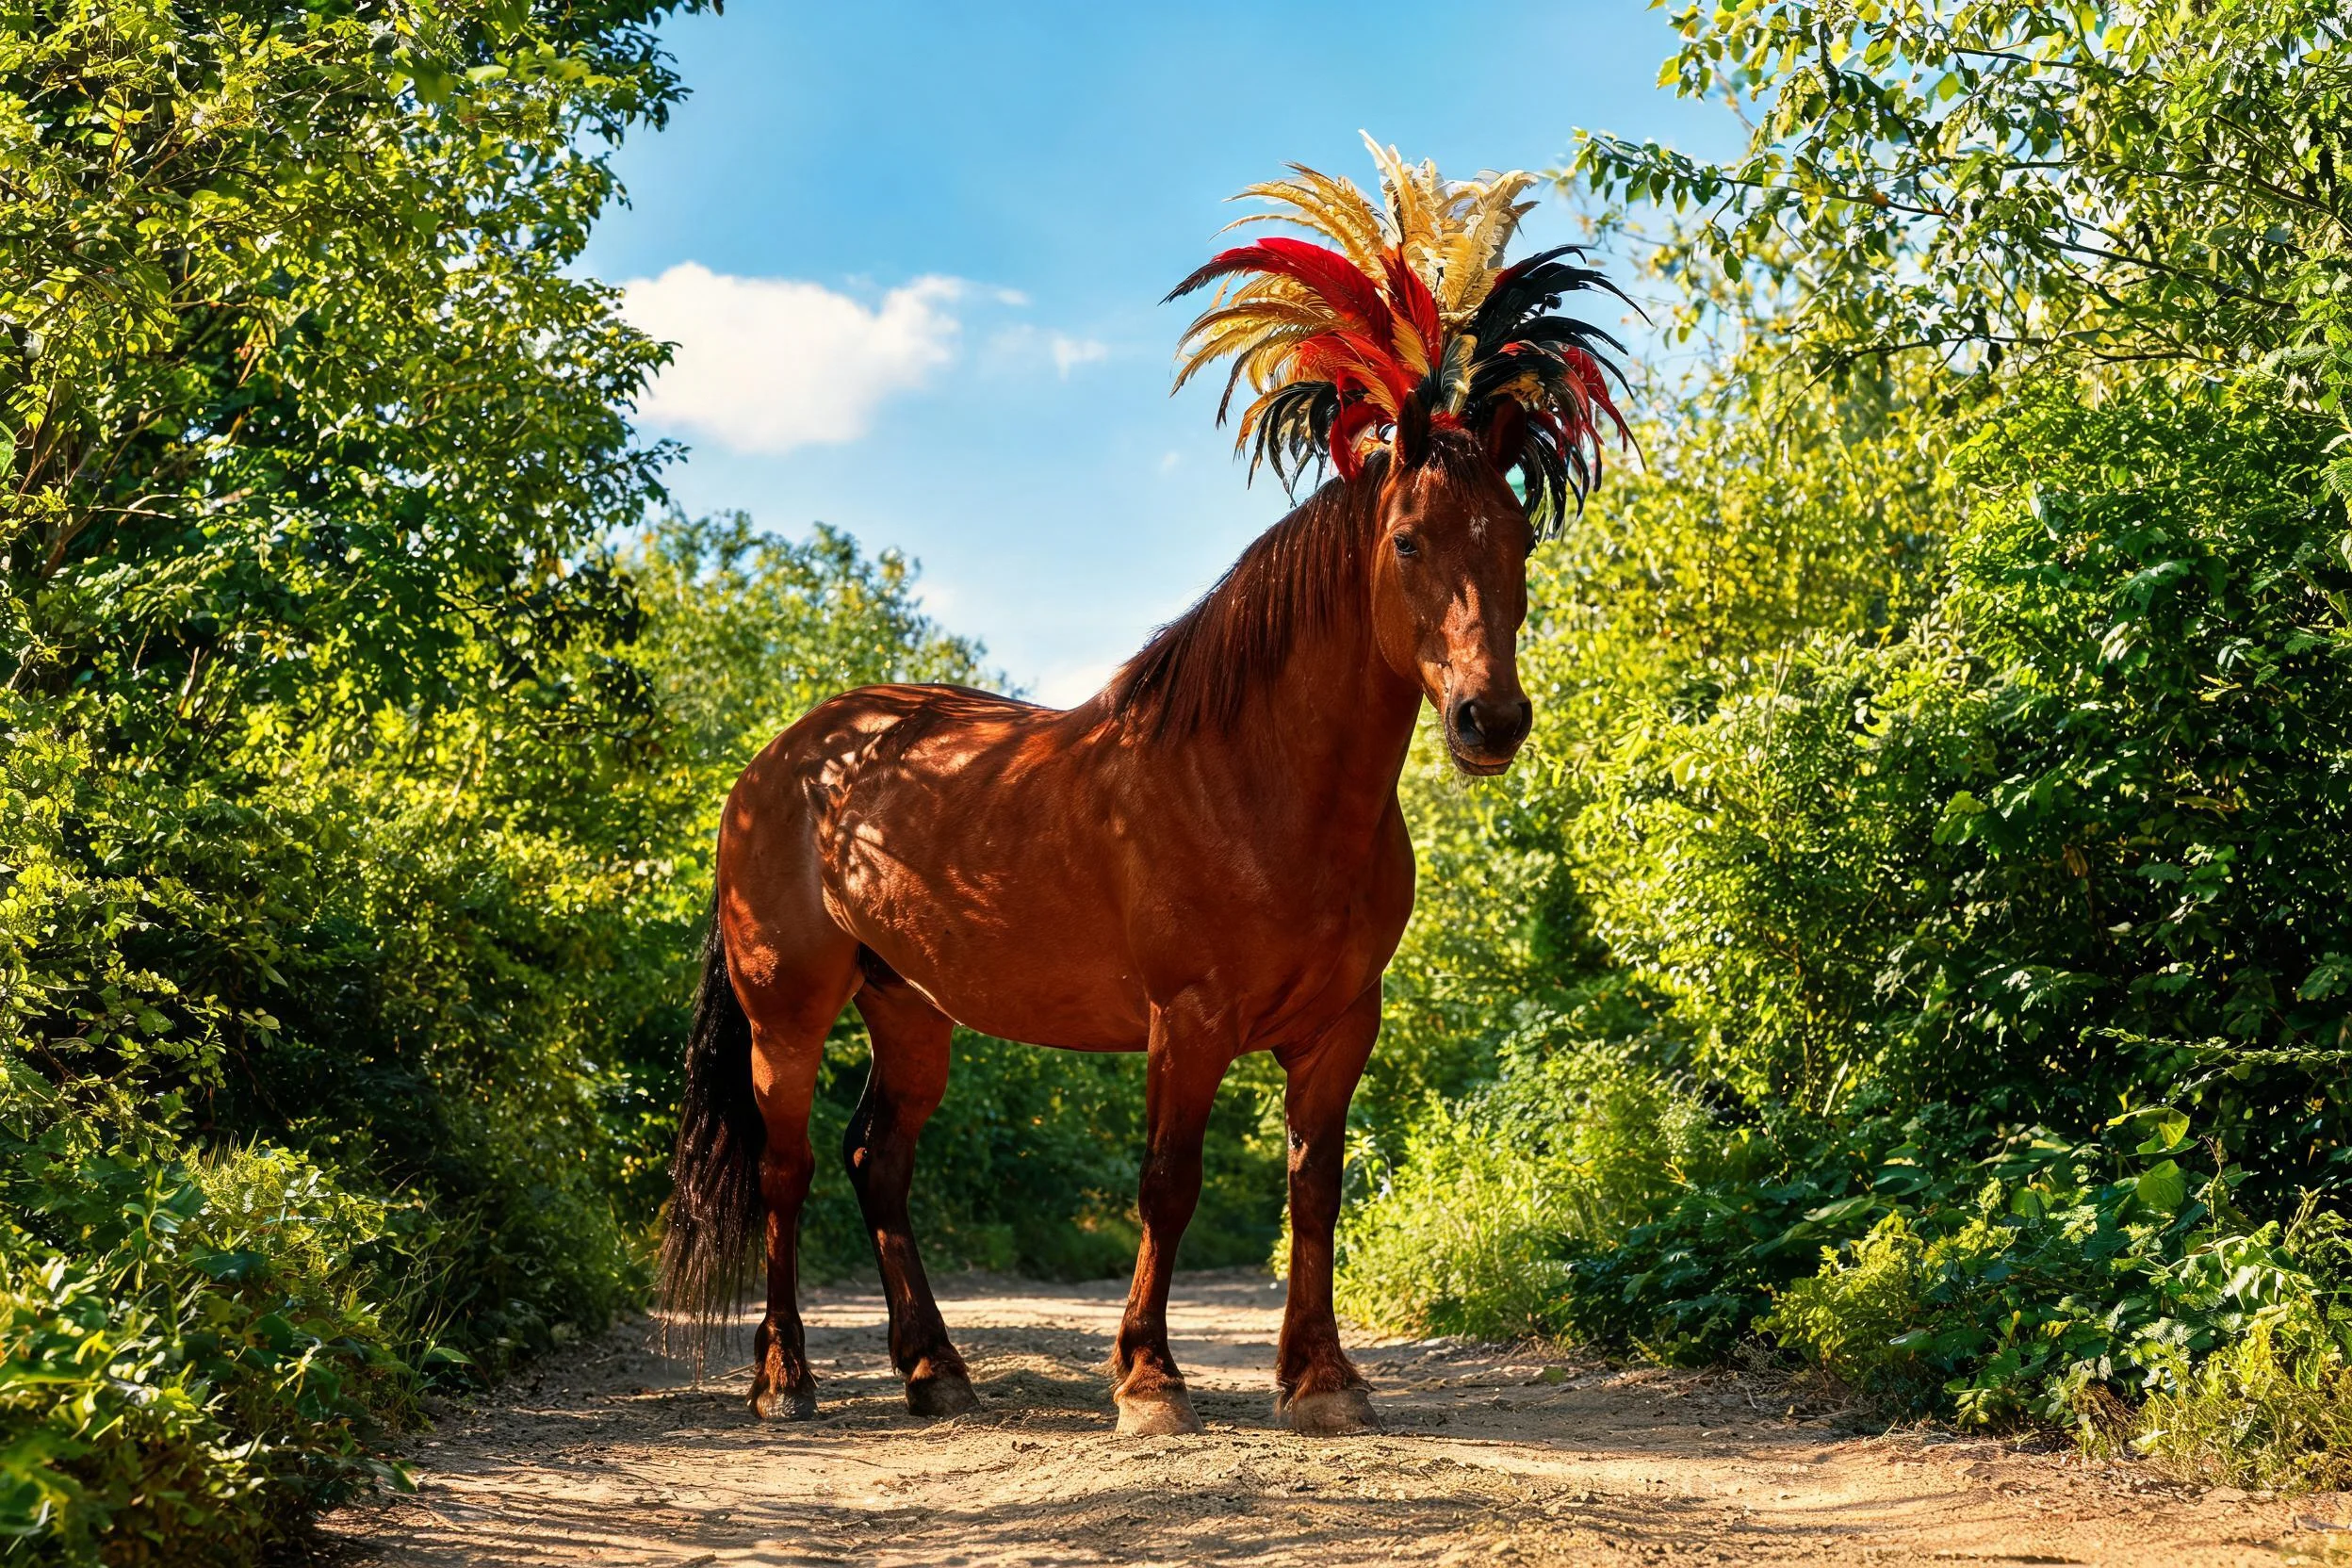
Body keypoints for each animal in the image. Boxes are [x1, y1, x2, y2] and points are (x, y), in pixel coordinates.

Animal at [658, 403, 1538, 1437]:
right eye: (1407, 539)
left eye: (1521, 538)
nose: (1492, 719)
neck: (1257, 779)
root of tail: (780, 762)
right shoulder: (1187, 1023)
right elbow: (1168, 1184)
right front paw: (1150, 1379)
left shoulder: (1341, 1029)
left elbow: (1314, 1189)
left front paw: (1321, 1378)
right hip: (786, 1018)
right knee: (784, 1171)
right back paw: (783, 1376)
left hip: (908, 1010)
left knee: (878, 1161)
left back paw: (934, 1369)